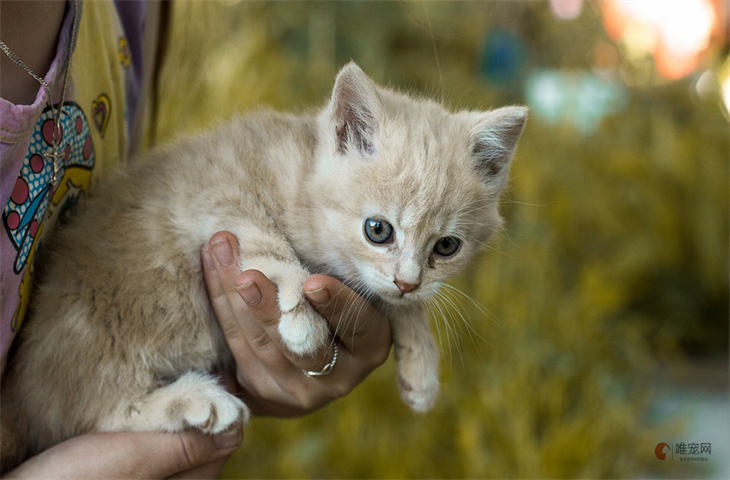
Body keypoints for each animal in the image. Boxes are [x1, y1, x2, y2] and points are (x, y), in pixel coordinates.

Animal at [0, 62, 524, 470]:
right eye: (378, 230)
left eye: (447, 247)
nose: (408, 281)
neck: (302, 177)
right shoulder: (217, 193)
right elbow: (269, 245)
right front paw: (303, 324)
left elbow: (393, 299)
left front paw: (421, 363)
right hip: (95, 337)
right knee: (95, 411)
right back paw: (198, 400)